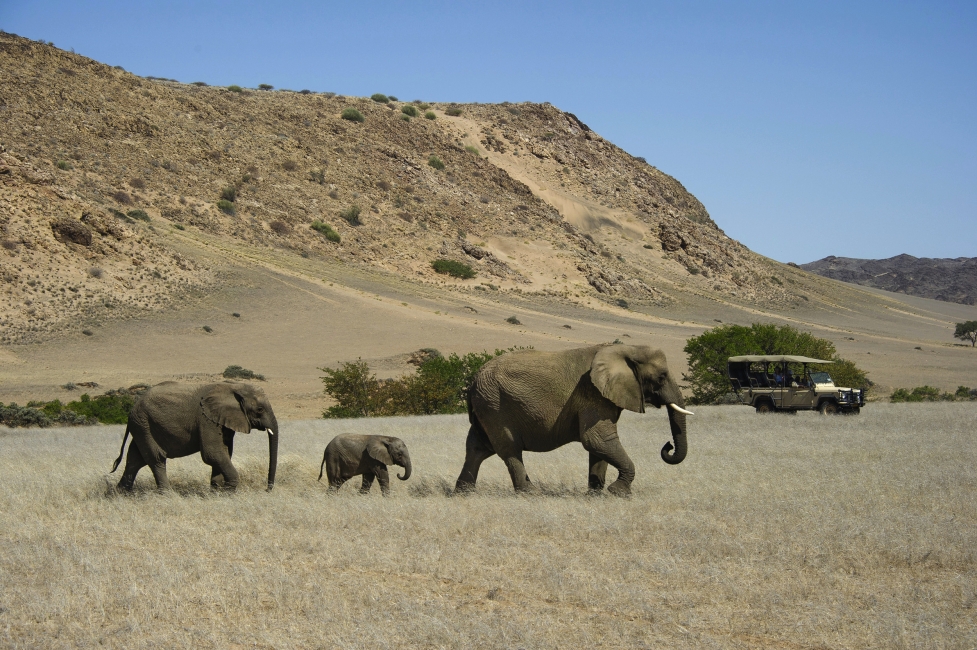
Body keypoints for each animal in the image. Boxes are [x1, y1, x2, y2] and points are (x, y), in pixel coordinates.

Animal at [110, 382, 279, 492]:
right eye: (259, 409)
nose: (267, 490)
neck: (233, 387)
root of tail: (132, 409)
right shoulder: (206, 419)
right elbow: (213, 453)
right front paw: (227, 490)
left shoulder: (222, 420)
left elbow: (224, 452)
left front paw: (217, 490)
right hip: (143, 424)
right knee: (156, 458)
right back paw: (168, 495)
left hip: (141, 426)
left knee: (135, 459)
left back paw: (120, 494)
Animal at [454, 344, 693, 497]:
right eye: (661, 377)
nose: (668, 445)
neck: (627, 349)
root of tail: (473, 381)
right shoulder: (593, 394)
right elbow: (596, 440)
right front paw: (618, 493)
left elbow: (599, 447)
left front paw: (595, 494)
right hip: (495, 406)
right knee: (510, 449)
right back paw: (530, 494)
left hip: (486, 406)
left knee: (477, 448)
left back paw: (463, 494)